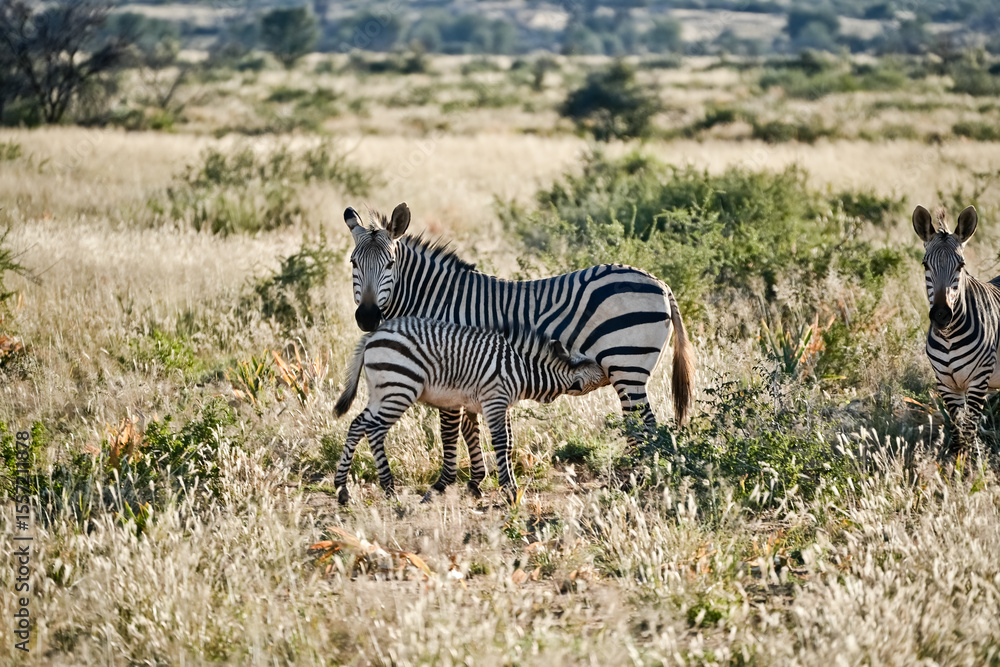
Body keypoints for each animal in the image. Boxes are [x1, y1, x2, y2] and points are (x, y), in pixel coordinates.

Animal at [332, 317, 607, 504]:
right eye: (601, 372)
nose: (610, 365)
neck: (525, 371)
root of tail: (373, 335)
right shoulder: (495, 399)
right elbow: (501, 442)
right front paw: (510, 492)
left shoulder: (494, 404)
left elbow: (506, 443)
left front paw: (499, 485)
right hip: (400, 387)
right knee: (375, 430)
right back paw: (389, 489)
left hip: (381, 392)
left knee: (358, 425)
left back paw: (342, 490)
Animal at [913, 204, 1000, 457]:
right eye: (925, 265)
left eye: (961, 265)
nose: (941, 315)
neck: (949, 336)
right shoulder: (946, 385)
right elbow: (958, 433)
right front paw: (957, 464)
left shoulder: (978, 381)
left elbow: (968, 433)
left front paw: (971, 466)